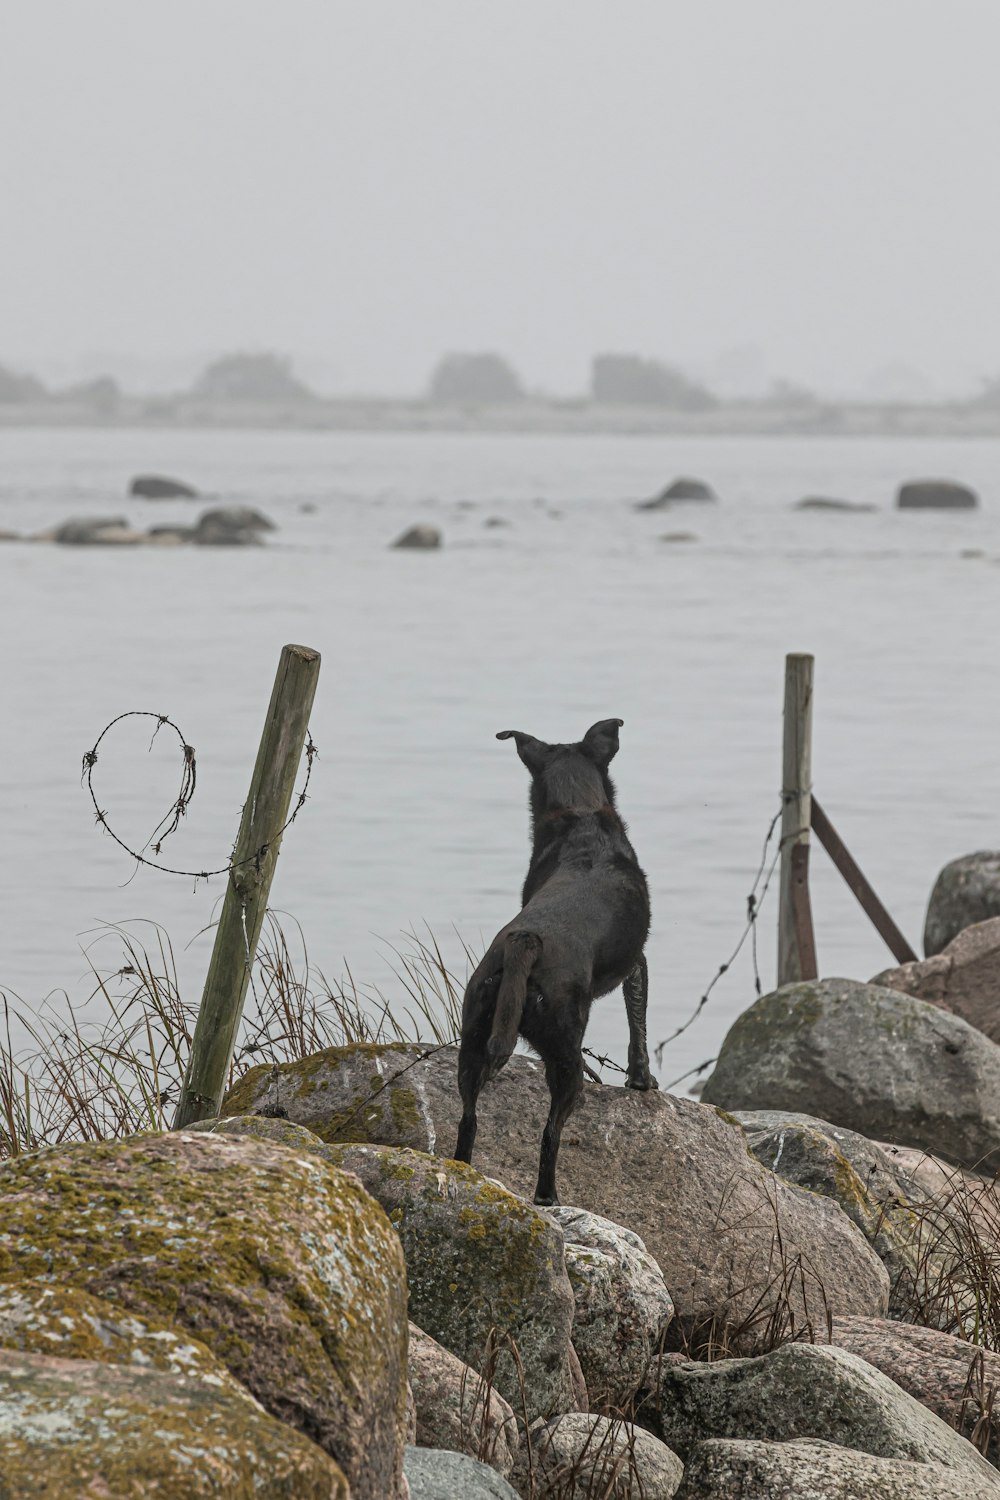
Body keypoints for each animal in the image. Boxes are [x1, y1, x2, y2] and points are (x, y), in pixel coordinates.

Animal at [452, 717, 656, 1206]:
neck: (580, 819)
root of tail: (525, 941)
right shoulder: (637, 962)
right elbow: (638, 1022)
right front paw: (642, 1079)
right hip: (566, 1052)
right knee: (550, 1134)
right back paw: (548, 1196)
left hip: (475, 1035)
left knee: (468, 1119)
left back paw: (463, 1168)